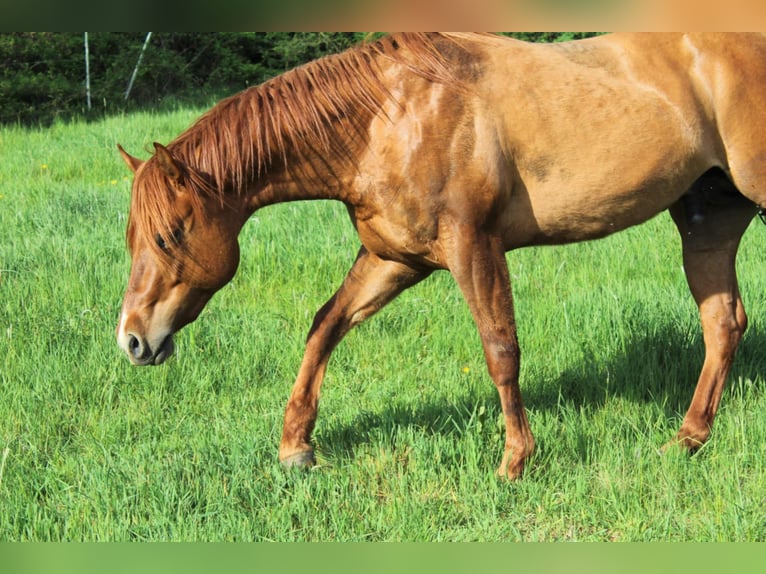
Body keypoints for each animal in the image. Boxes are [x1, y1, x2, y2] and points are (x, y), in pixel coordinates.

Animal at [116, 33, 765, 479]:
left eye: (169, 236)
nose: (132, 340)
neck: (390, 116)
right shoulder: (394, 259)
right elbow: (326, 326)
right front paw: (296, 447)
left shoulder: (473, 246)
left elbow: (501, 350)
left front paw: (515, 462)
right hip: (708, 221)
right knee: (722, 324)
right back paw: (686, 440)